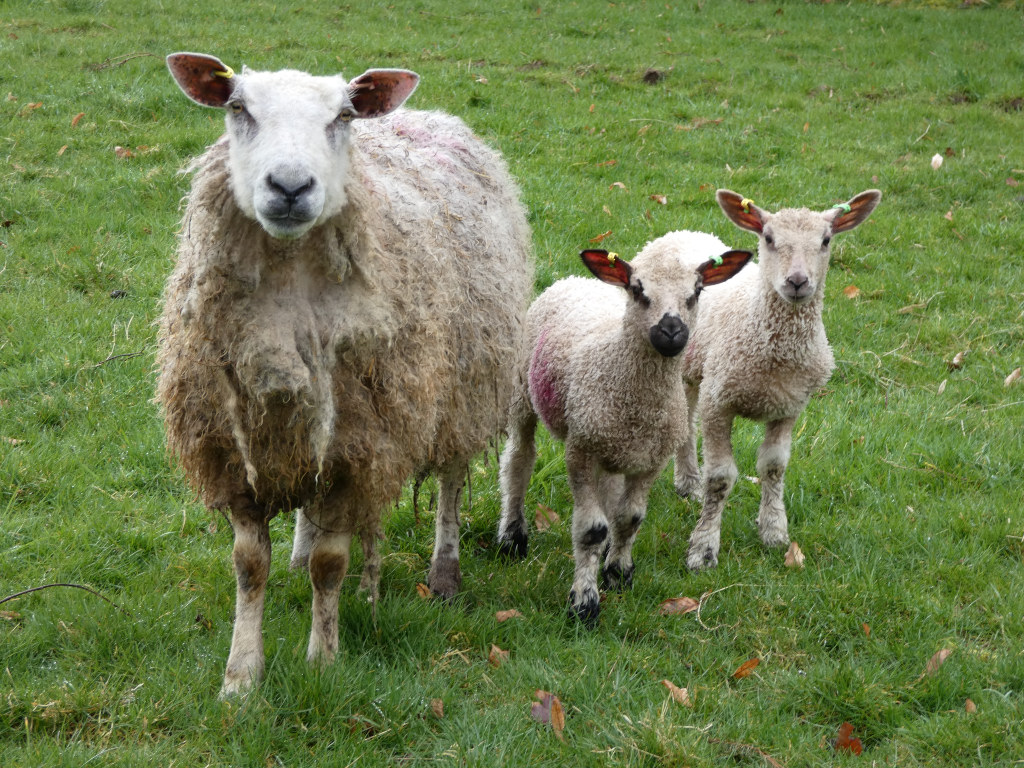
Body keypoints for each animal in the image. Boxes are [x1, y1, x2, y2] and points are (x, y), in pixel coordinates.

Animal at [157, 53, 533, 696]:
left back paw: (444, 572)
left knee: (451, 483)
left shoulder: (361, 447)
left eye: (342, 117)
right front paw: (240, 677)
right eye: (238, 108)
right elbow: (248, 566)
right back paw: (298, 553)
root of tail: (432, 116)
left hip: (462, 391)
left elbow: (332, 565)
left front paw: (321, 662)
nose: (289, 187)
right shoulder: (236, 447)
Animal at [496, 238, 751, 624]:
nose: (672, 332)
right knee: (519, 462)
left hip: (612, 443)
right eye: (638, 289)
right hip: (524, 393)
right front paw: (584, 603)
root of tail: (573, 280)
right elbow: (591, 529)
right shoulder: (580, 451)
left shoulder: (651, 459)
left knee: (610, 493)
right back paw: (512, 538)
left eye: (696, 292)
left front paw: (617, 574)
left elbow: (629, 518)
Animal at [675, 188, 882, 571]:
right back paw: (688, 482)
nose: (797, 281)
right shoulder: (718, 401)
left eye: (826, 240)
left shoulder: (790, 406)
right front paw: (703, 548)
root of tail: (683, 233)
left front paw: (773, 531)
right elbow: (720, 478)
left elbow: (773, 467)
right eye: (768, 238)